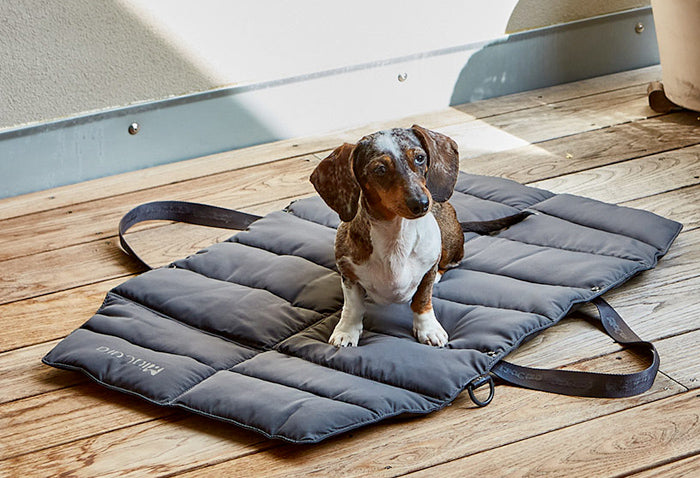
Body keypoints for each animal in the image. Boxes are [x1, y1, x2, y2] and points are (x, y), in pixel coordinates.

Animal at [312, 125, 464, 346]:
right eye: (380, 169)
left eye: (420, 158)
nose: (421, 204)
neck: (396, 234)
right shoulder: (348, 274)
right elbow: (353, 306)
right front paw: (346, 331)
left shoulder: (428, 270)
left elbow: (422, 300)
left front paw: (428, 329)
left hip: (448, 242)